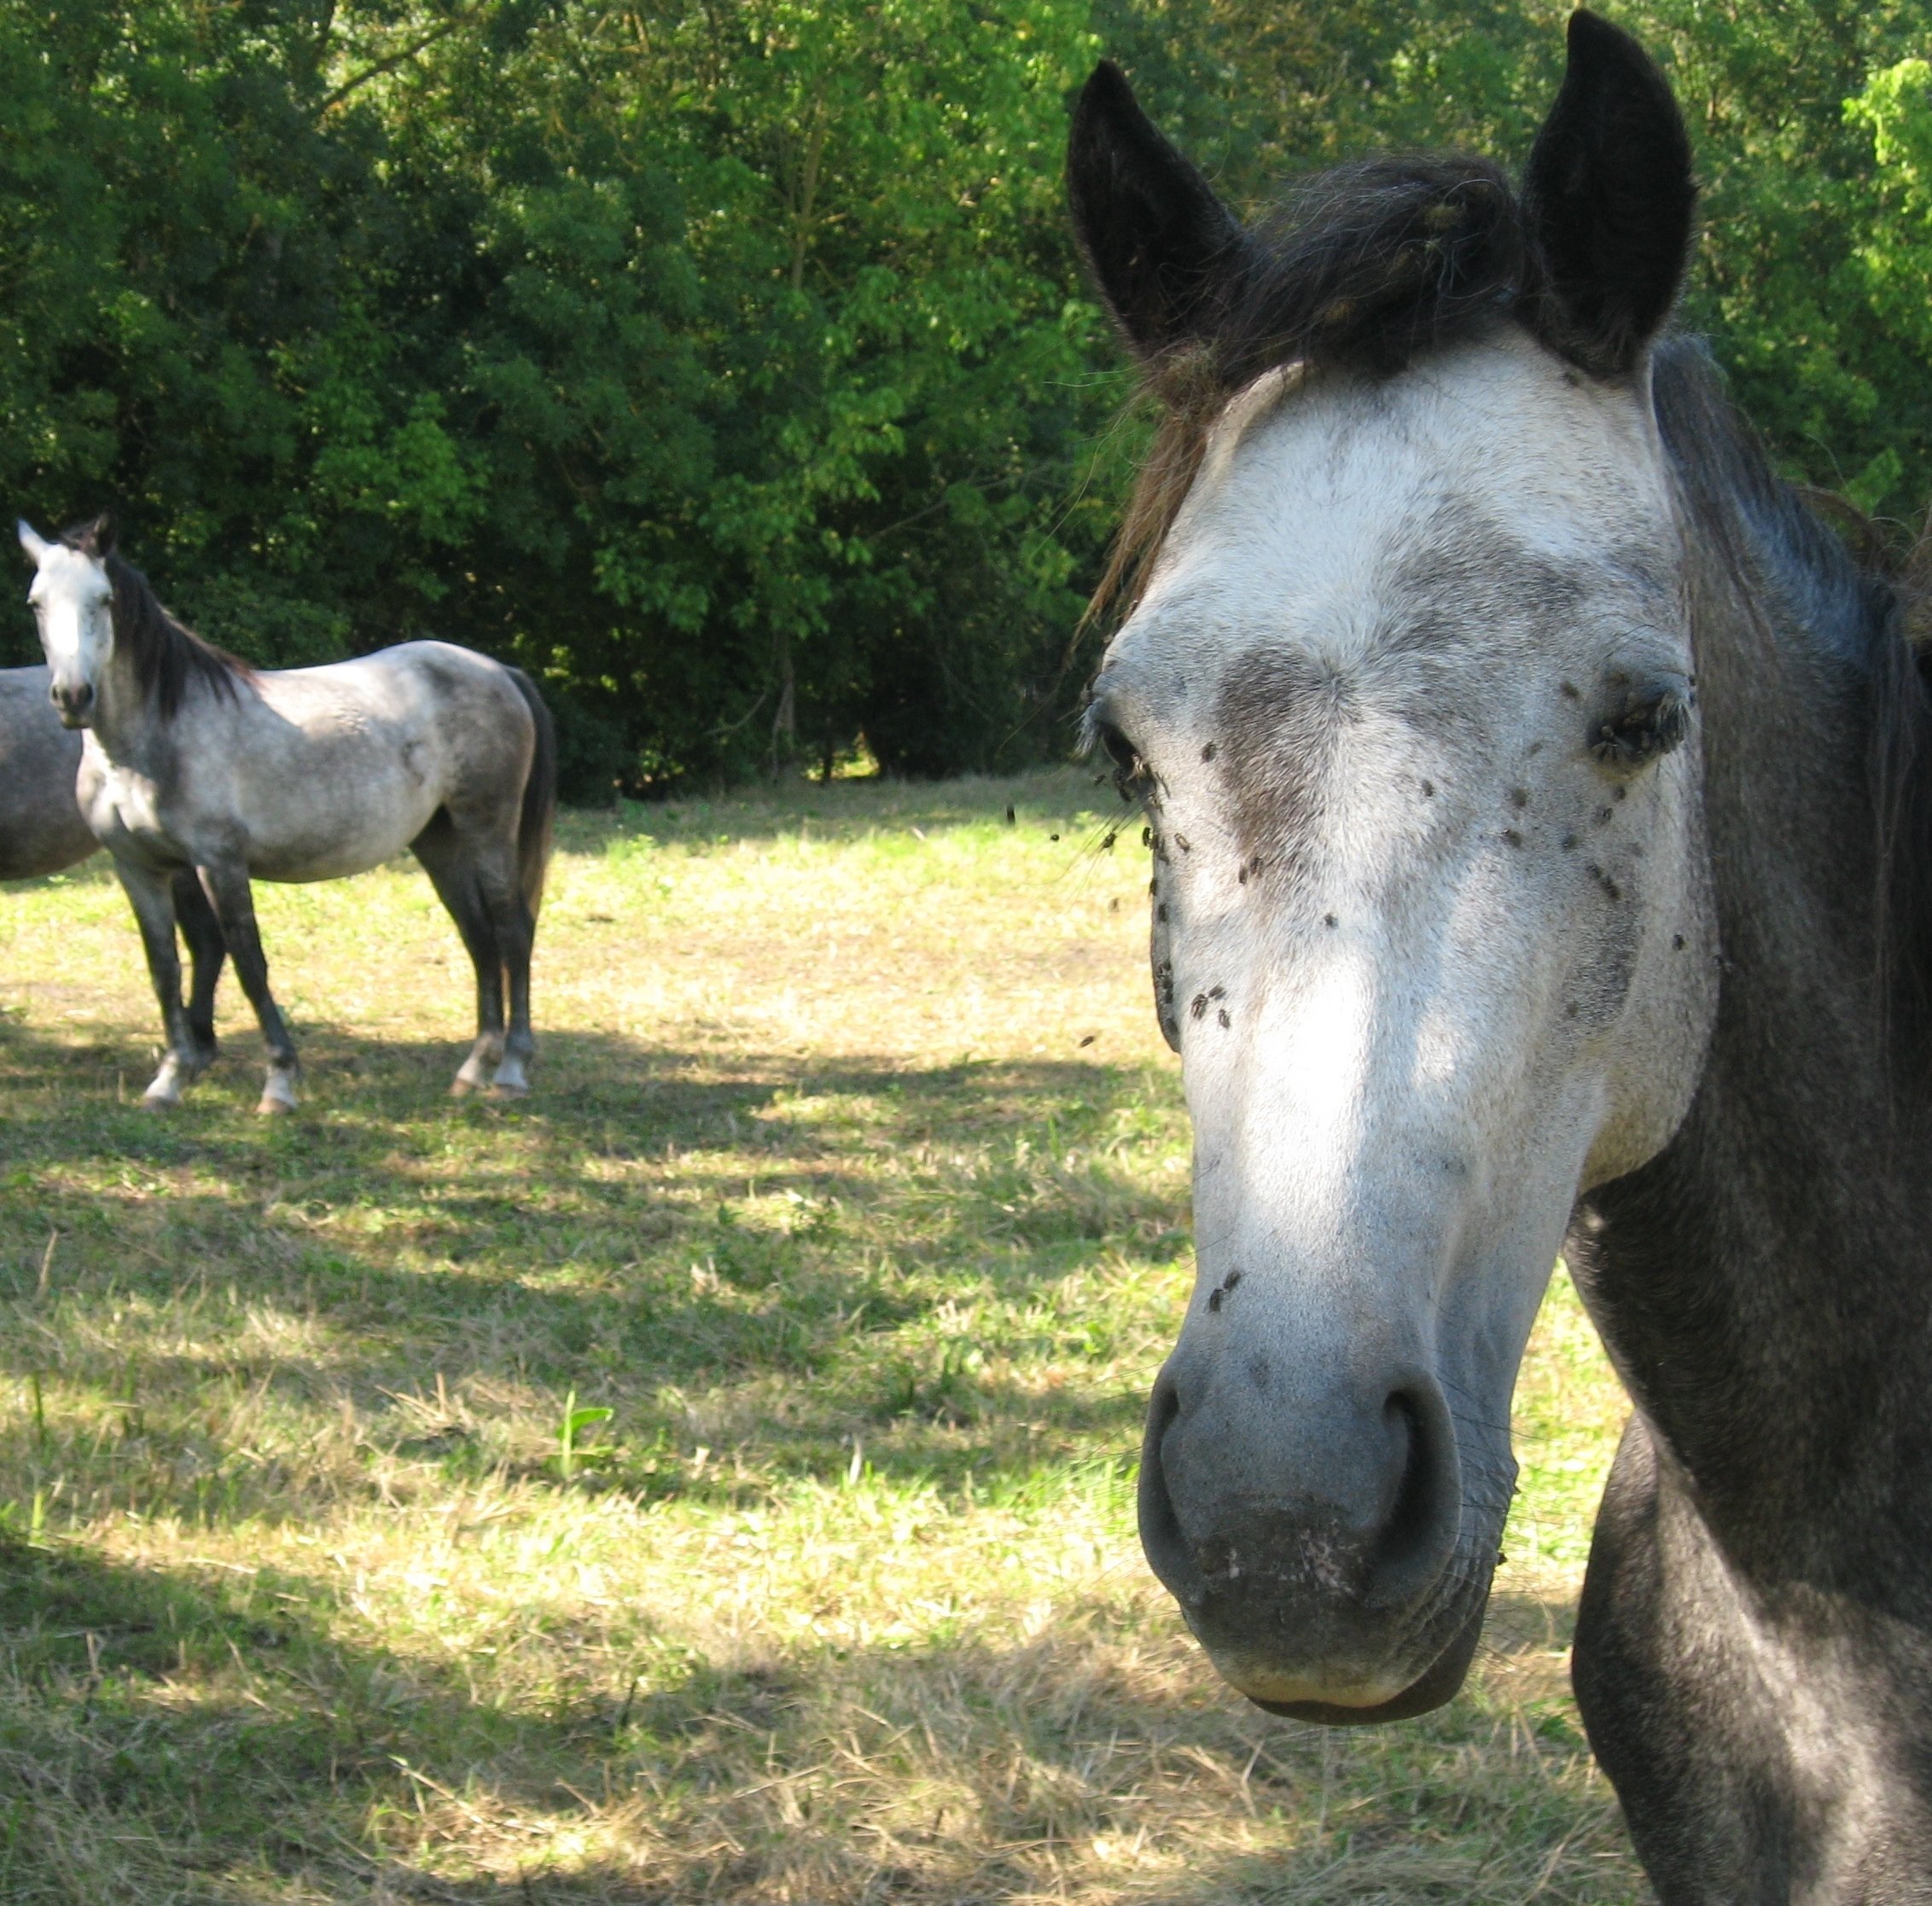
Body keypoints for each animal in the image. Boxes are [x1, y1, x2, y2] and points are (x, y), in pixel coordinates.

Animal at [19, 521, 556, 1119]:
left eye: (104, 599)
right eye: (37, 603)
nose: (72, 697)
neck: (149, 741)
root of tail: (498, 671)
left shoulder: (220, 863)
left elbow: (249, 964)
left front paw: (278, 1082)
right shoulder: (139, 868)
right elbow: (164, 970)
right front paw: (170, 1080)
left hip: (486, 828)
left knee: (512, 932)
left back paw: (511, 1071)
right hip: (439, 842)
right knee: (479, 937)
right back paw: (474, 1069)